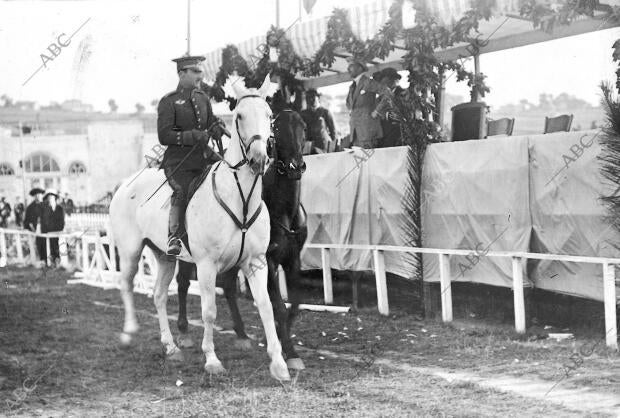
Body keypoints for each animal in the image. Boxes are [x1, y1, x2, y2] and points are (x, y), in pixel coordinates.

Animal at [108, 75, 290, 382]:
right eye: (239, 116)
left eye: (269, 116)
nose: (258, 160)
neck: (240, 198)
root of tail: (124, 184)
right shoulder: (206, 265)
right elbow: (209, 311)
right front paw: (212, 360)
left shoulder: (256, 262)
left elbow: (265, 307)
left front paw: (279, 364)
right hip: (130, 251)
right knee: (126, 284)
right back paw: (128, 333)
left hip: (164, 256)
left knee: (159, 296)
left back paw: (171, 347)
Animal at [176, 105, 308, 370]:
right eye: (278, 128)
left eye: (304, 126)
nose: (295, 166)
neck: (283, 209)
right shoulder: (268, 261)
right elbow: (278, 306)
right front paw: (288, 349)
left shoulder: (293, 260)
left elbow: (295, 304)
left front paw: (282, 341)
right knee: (183, 283)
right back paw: (184, 331)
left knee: (227, 287)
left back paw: (241, 333)